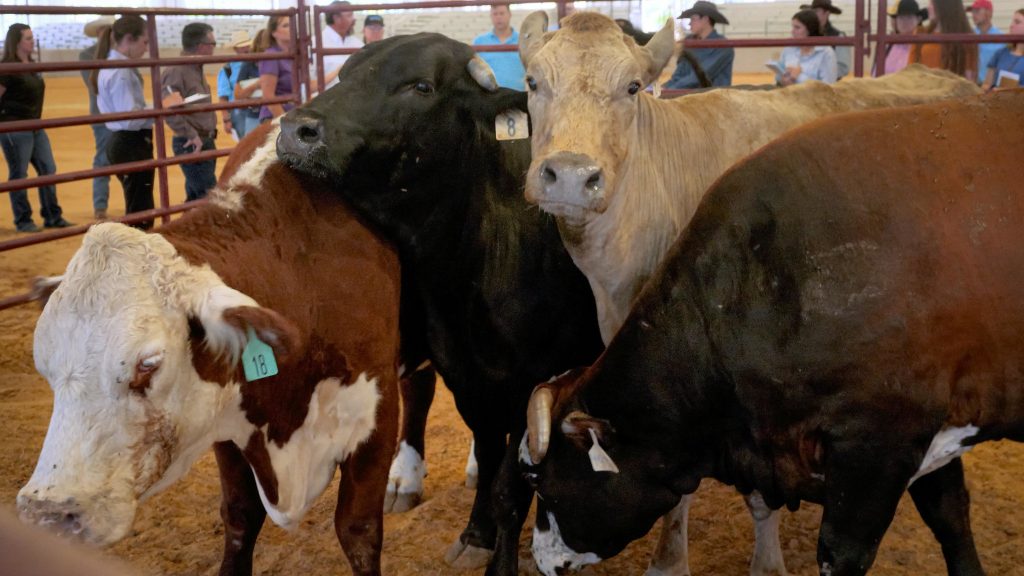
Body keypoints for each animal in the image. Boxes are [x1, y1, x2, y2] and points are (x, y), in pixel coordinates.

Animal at [16, 124, 402, 576]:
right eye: (46, 370)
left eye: (149, 365)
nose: (48, 514)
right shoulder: (229, 426)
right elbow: (240, 516)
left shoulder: (378, 420)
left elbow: (358, 531)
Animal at [277, 33, 604, 575]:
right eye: (344, 74)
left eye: (420, 86)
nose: (296, 128)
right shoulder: (465, 375)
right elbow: (490, 459)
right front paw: (476, 533)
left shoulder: (533, 382)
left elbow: (510, 486)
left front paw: (501, 560)